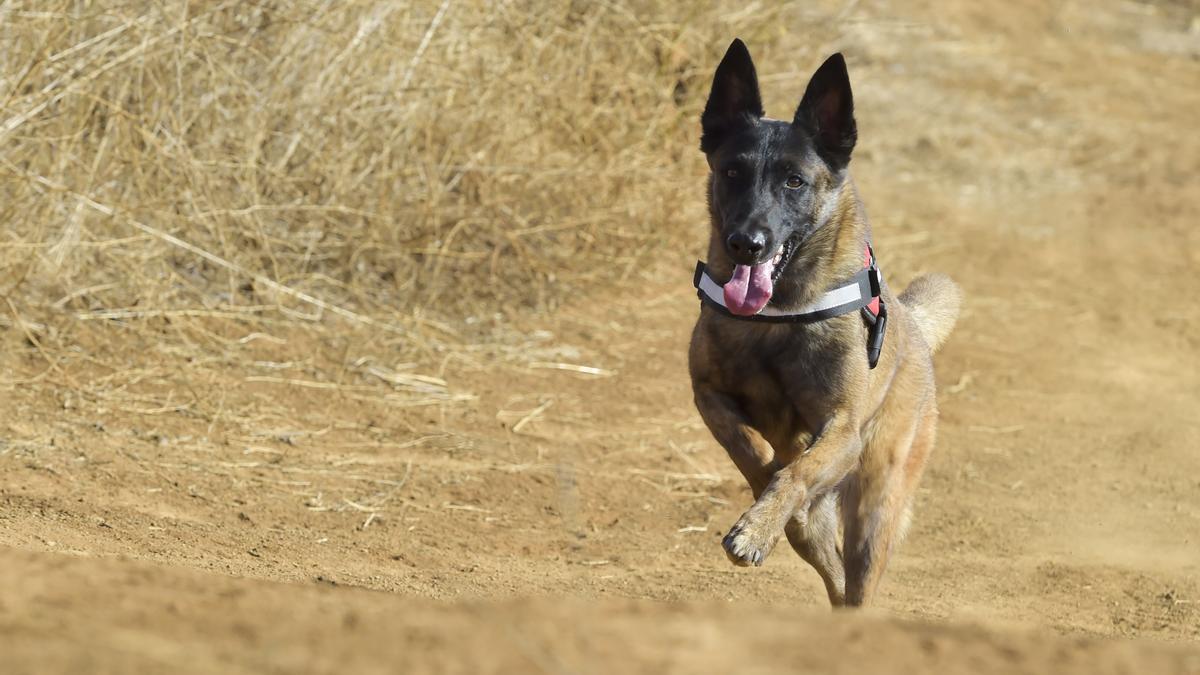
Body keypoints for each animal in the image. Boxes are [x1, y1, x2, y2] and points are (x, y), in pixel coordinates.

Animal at [691, 40, 960, 605]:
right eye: (732, 173)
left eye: (795, 181)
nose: (746, 243)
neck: (776, 316)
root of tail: (916, 330)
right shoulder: (707, 394)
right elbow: (754, 450)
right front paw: (765, 504)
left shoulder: (841, 431)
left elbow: (795, 474)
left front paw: (756, 527)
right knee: (830, 567)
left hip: (877, 506)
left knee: (856, 582)